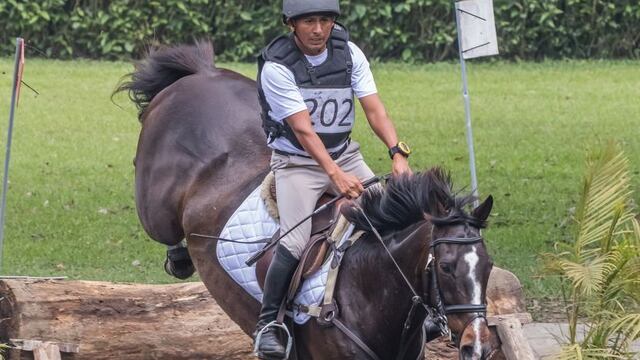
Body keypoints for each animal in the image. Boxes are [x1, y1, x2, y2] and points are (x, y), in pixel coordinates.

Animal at [115, 40, 496, 358]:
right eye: (445, 268)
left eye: (488, 265)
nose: (477, 346)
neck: (370, 287)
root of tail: (198, 74)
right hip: (156, 206)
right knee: (164, 230)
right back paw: (179, 258)